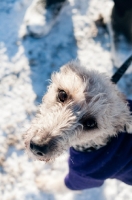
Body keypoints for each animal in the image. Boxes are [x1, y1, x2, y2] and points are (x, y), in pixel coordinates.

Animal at [23, 61, 132, 192]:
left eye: (90, 123)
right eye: (62, 94)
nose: (38, 146)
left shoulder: (85, 178)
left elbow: (59, 185)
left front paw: (43, 183)